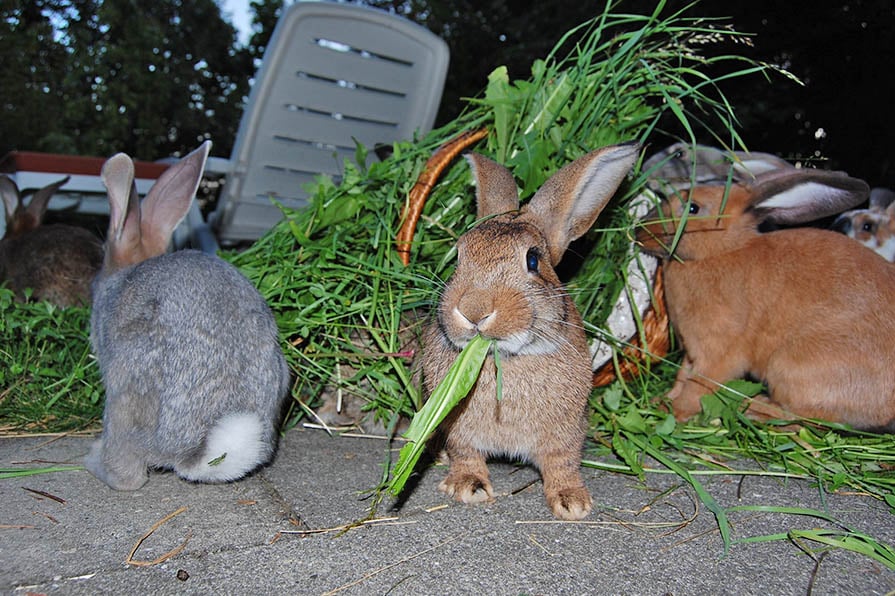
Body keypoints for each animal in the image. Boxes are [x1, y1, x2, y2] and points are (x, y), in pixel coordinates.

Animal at [424, 142, 640, 520]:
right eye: (459, 257)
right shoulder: (457, 430)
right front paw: (469, 487)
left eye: (533, 260)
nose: (473, 310)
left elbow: (562, 463)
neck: (502, 359)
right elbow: (465, 453)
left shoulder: (566, 434)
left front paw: (573, 503)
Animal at [636, 154, 895, 430]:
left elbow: (697, 386)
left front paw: (674, 411)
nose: (638, 230)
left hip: (788, 365)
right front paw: (661, 400)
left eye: (693, 208)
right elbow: (681, 377)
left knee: (806, 417)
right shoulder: (691, 353)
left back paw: (755, 408)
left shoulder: (718, 354)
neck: (721, 251)